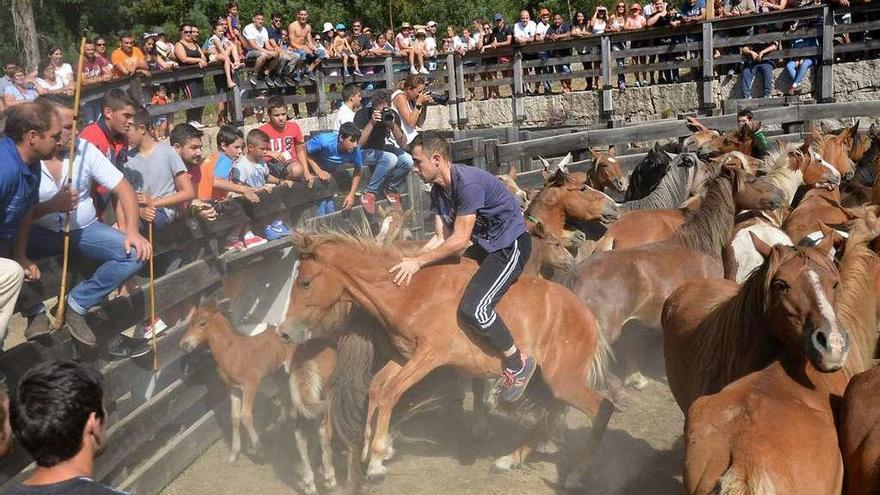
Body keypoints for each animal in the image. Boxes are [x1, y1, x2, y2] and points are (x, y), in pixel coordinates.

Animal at [182, 298, 340, 495]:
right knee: (287, 395)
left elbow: (245, 416)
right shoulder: (233, 389)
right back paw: (283, 420)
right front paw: (234, 453)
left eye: (202, 323)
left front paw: (259, 450)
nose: (184, 344)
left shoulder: (251, 385)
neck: (232, 352)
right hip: (280, 373)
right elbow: (234, 418)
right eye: (189, 322)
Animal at [280, 232, 612, 488]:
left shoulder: (429, 357)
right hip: (551, 382)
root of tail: (587, 316)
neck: (411, 292)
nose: (284, 332)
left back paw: (576, 474)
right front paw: (370, 449)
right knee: (549, 418)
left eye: (305, 282)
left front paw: (376, 459)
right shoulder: (404, 357)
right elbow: (376, 388)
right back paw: (509, 459)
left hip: (563, 381)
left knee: (602, 409)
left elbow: (390, 393)